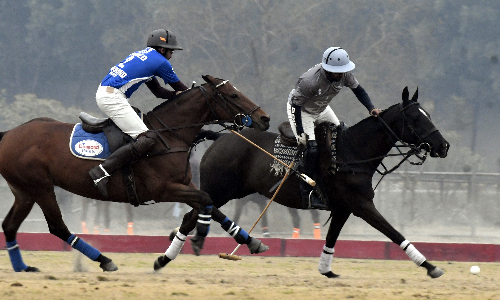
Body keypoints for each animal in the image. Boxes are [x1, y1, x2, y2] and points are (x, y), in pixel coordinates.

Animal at [0, 74, 270, 272]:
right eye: (233, 94)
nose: (264, 118)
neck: (169, 135)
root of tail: (8, 134)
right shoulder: (163, 190)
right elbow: (206, 201)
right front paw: (199, 237)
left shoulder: (184, 186)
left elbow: (209, 205)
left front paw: (252, 241)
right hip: (41, 187)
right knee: (57, 227)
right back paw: (104, 260)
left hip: (24, 191)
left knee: (10, 226)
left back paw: (22, 267)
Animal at [163, 87, 450, 278]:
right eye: (416, 118)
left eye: (427, 114)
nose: (443, 146)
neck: (353, 151)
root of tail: (219, 137)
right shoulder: (361, 205)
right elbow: (394, 233)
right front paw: (430, 266)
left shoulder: (343, 208)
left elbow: (332, 239)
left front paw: (327, 270)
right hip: (219, 189)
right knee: (193, 215)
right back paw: (169, 255)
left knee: (197, 213)